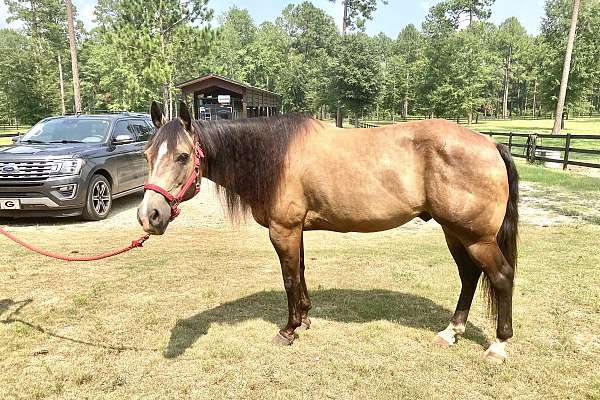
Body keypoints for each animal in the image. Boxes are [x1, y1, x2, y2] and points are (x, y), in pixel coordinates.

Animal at [138, 101, 516, 364]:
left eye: (183, 156)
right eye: (146, 153)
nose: (149, 215)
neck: (275, 158)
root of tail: (491, 144)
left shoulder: (284, 230)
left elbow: (289, 278)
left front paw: (289, 330)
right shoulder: (297, 230)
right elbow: (302, 271)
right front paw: (305, 318)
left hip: (476, 237)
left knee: (500, 276)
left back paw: (498, 346)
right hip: (455, 233)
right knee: (469, 276)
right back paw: (451, 332)